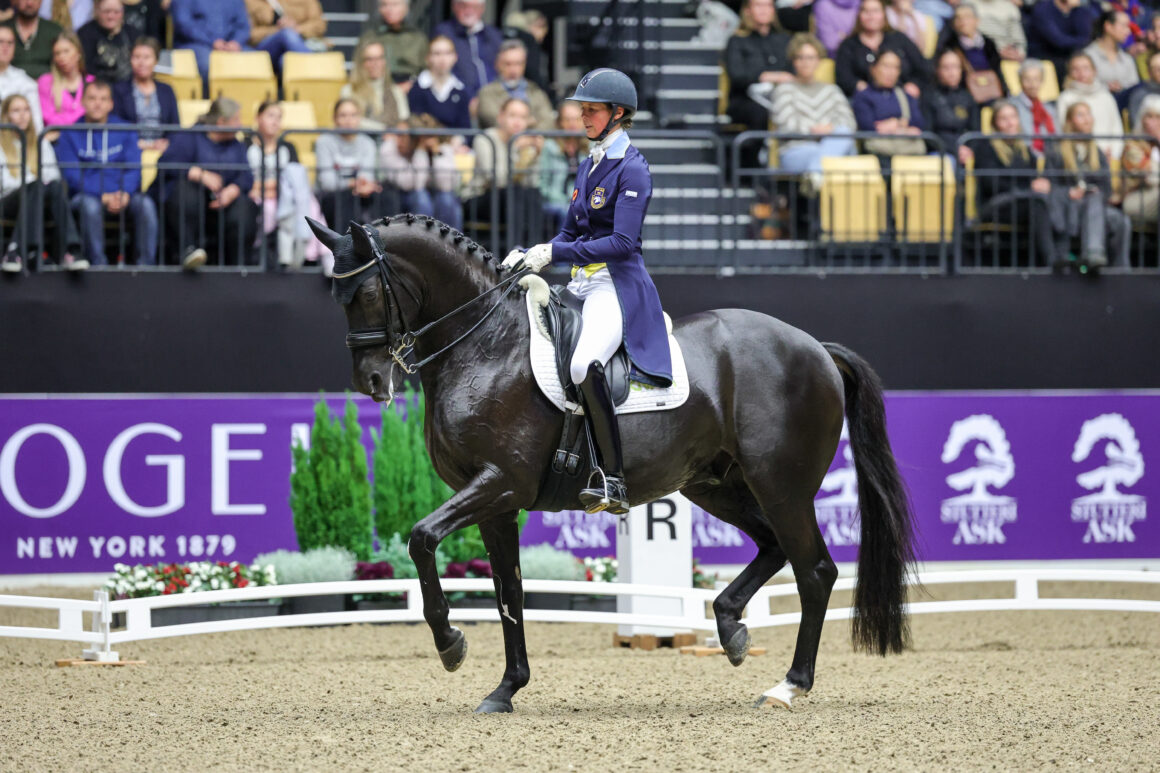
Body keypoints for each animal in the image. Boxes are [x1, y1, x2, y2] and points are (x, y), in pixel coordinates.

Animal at [306, 213, 914, 714]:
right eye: (337, 295)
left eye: (365, 292)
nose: (372, 382)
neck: (485, 343)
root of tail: (815, 347)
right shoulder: (494, 504)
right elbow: (508, 591)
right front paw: (506, 689)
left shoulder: (501, 484)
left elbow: (422, 538)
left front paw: (451, 645)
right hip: (715, 485)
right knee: (773, 548)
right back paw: (731, 629)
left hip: (781, 485)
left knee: (815, 571)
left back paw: (789, 684)